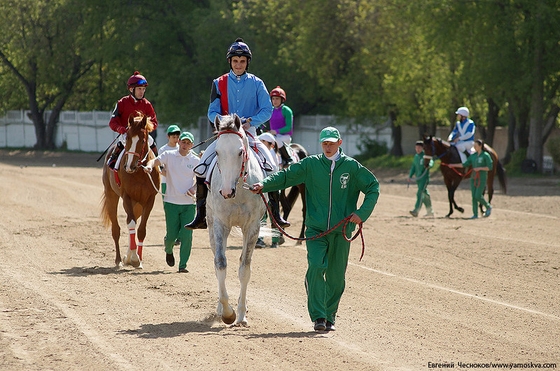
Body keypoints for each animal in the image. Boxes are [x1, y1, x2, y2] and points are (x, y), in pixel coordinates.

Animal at [100, 115, 160, 268]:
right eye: (127, 139)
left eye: (143, 140)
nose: (129, 166)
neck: (139, 172)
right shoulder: (126, 197)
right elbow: (131, 223)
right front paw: (133, 257)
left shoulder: (150, 199)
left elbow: (141, 229)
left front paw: (137, 258)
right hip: (111, 195)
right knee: (116, 229)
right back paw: (119, 260)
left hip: (137, 204)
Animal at [208, 113, 266, 326]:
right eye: (217, 152)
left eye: (240, 152)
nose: (226, 191)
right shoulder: (220, 224)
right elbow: (220, 264)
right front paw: (227, 313)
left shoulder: (252, 228)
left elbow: (244, 268)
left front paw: (240, 314)